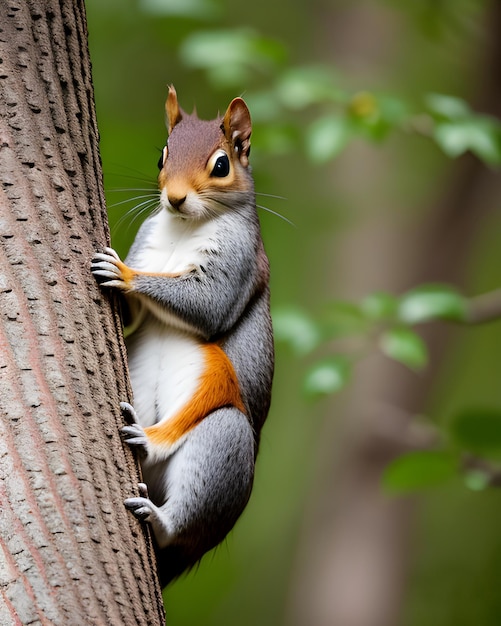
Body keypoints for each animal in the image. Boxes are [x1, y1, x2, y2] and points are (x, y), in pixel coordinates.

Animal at [92, 85, 276, 584]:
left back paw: (152, 463)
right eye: (162, 154)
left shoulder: (237, 262)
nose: (173, 198)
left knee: (182, 518)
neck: (182, 228)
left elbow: (206, 304)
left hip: (223, 444)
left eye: (222, 164)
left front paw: (127, 275)